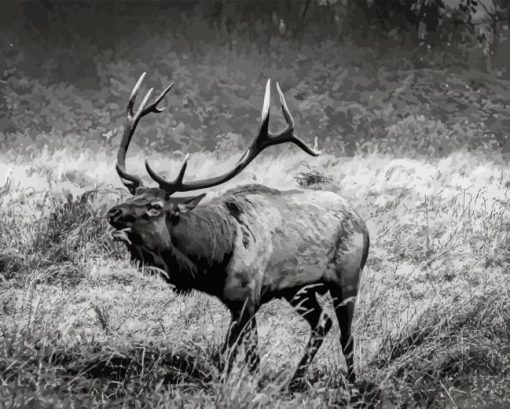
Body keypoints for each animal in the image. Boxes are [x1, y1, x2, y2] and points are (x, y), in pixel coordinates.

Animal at [108, 73, 370, 388]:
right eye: (133, 194)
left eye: (155, 206)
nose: (113, 212)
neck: (213, 258)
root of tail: (362, 223)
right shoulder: (243, 302)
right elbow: (252, 356)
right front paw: (257, 385)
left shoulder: (245, 298)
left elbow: (226, 356)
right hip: (298, 290)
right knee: (322, 322)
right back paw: (293, 381)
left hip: (347, 277)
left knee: (347, 336)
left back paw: (353, 386)